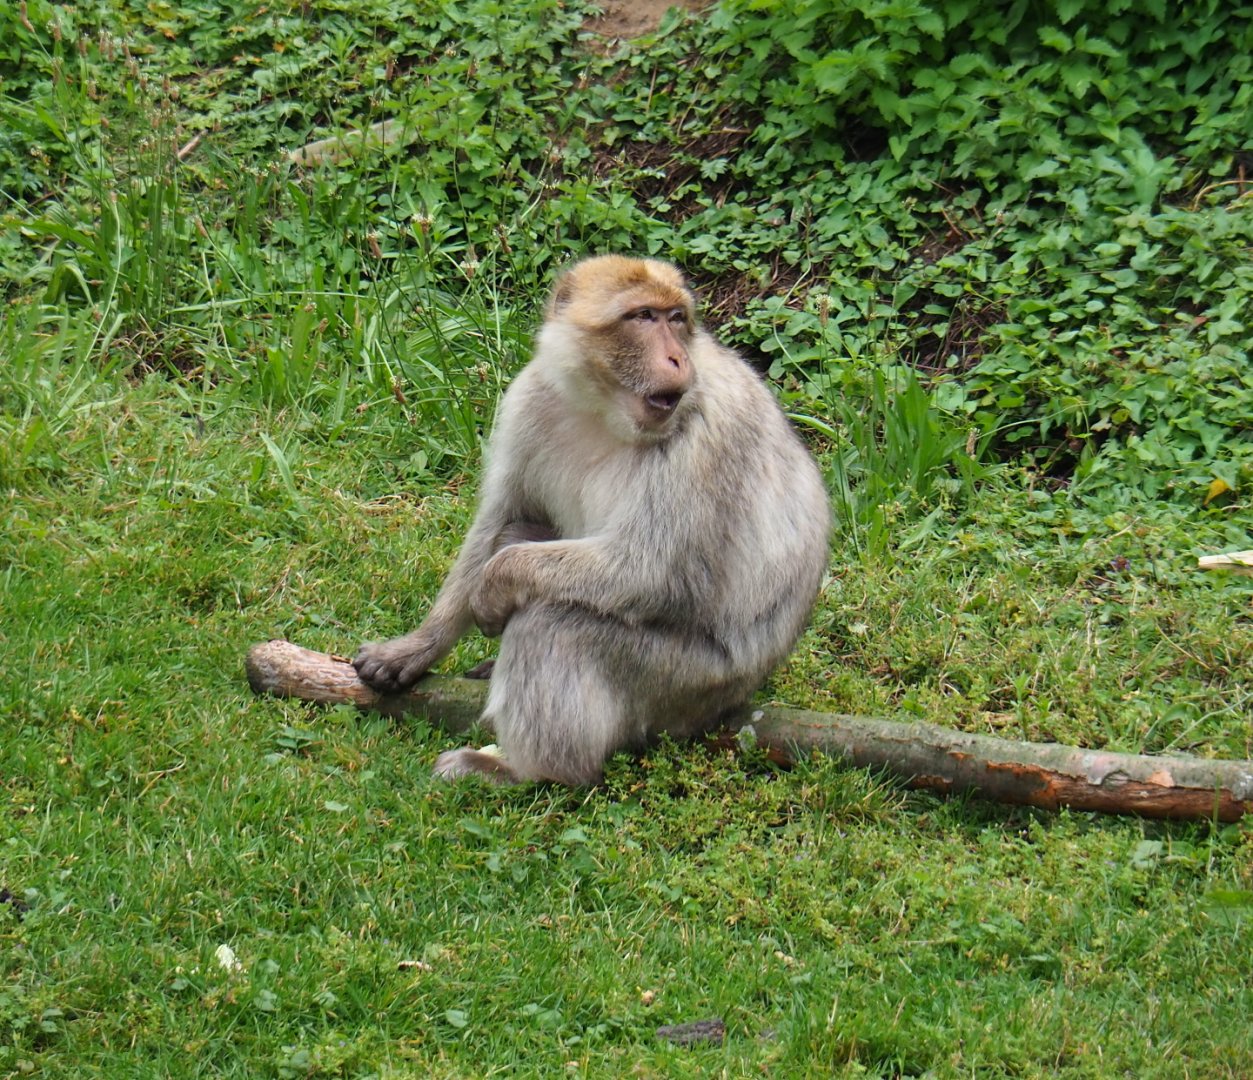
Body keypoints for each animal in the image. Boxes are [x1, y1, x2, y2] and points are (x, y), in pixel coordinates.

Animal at [353, 255, 830, 785]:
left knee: (552, 622)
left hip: (687, 681)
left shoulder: (708, 437)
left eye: (676, 319)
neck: (606, 411)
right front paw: (418, 647)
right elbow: (502, 517)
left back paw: (532, 770)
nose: (677, 360)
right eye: (643, 317)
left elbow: (649, 571)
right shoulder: (530, 398)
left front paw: (494, 586)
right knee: (518, 537)